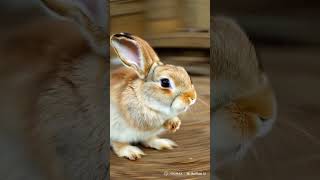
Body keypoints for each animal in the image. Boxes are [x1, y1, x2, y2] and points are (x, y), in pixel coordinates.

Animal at [109, 32, 195, 160]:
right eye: (165, 82)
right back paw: (131, 151)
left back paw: (163, 143)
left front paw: (175, 123)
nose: (192, 98)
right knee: (118, 143)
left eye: (185, 73)